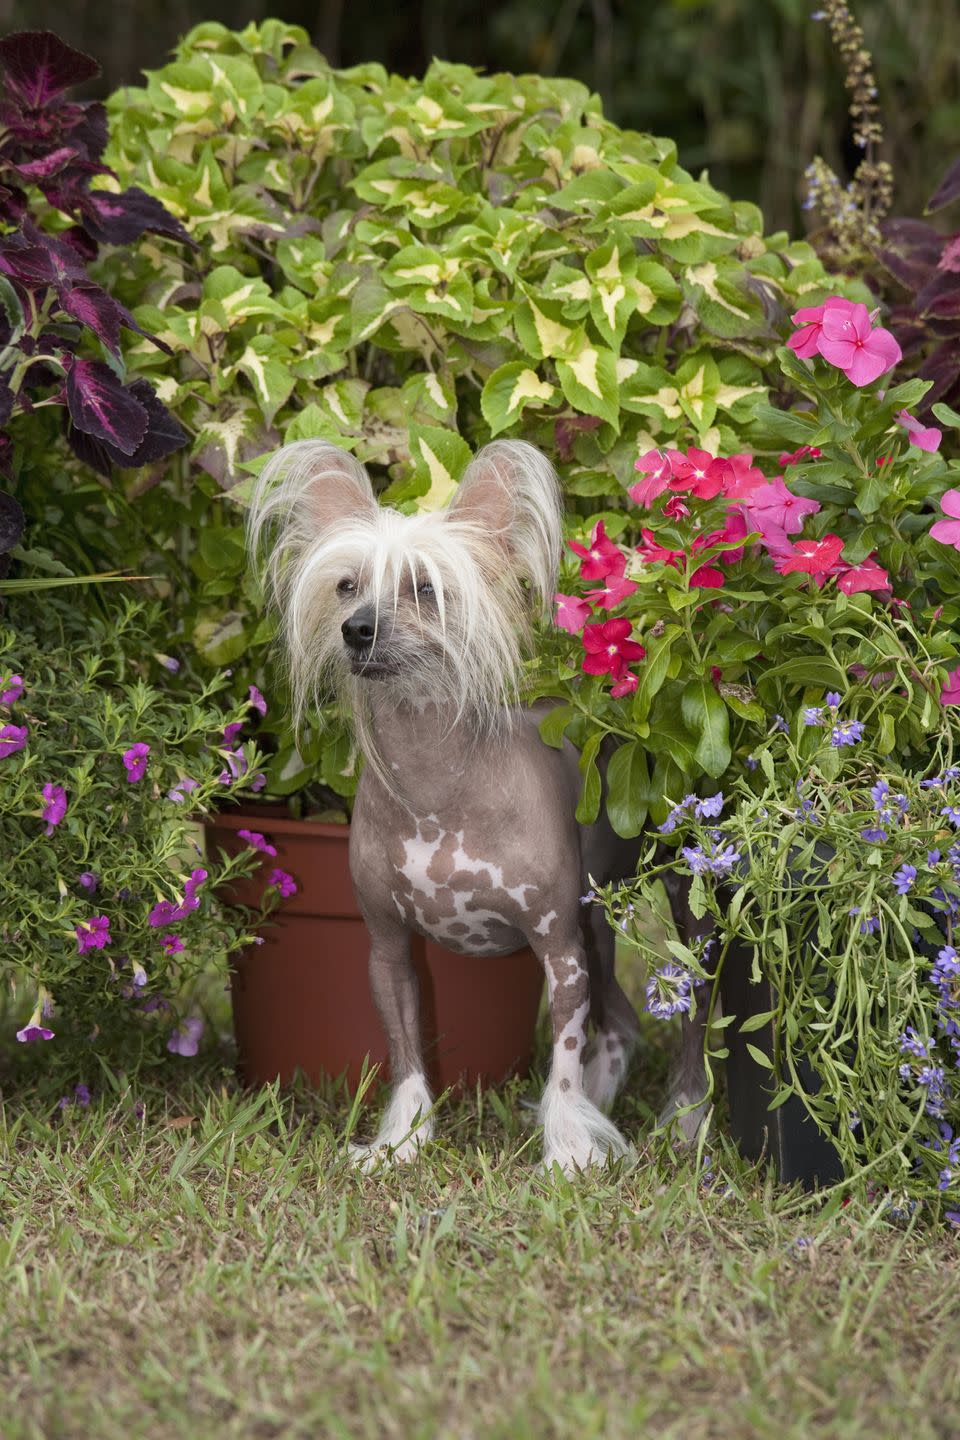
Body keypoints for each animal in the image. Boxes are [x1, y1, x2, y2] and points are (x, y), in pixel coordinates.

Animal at [251, 437, 711, 1169]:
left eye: (425, 588)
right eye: (347, 585)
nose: (357, 629)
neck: (436, 794)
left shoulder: (559, 950)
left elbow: (562, 1062)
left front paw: (567, 1151)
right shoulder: (386, 948)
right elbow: (407, 1055)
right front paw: (400, 1144)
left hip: (681, 912)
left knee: (691, 1020)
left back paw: (684, 1120)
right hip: (597, 917)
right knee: (620, 1021)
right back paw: (605, 1107)